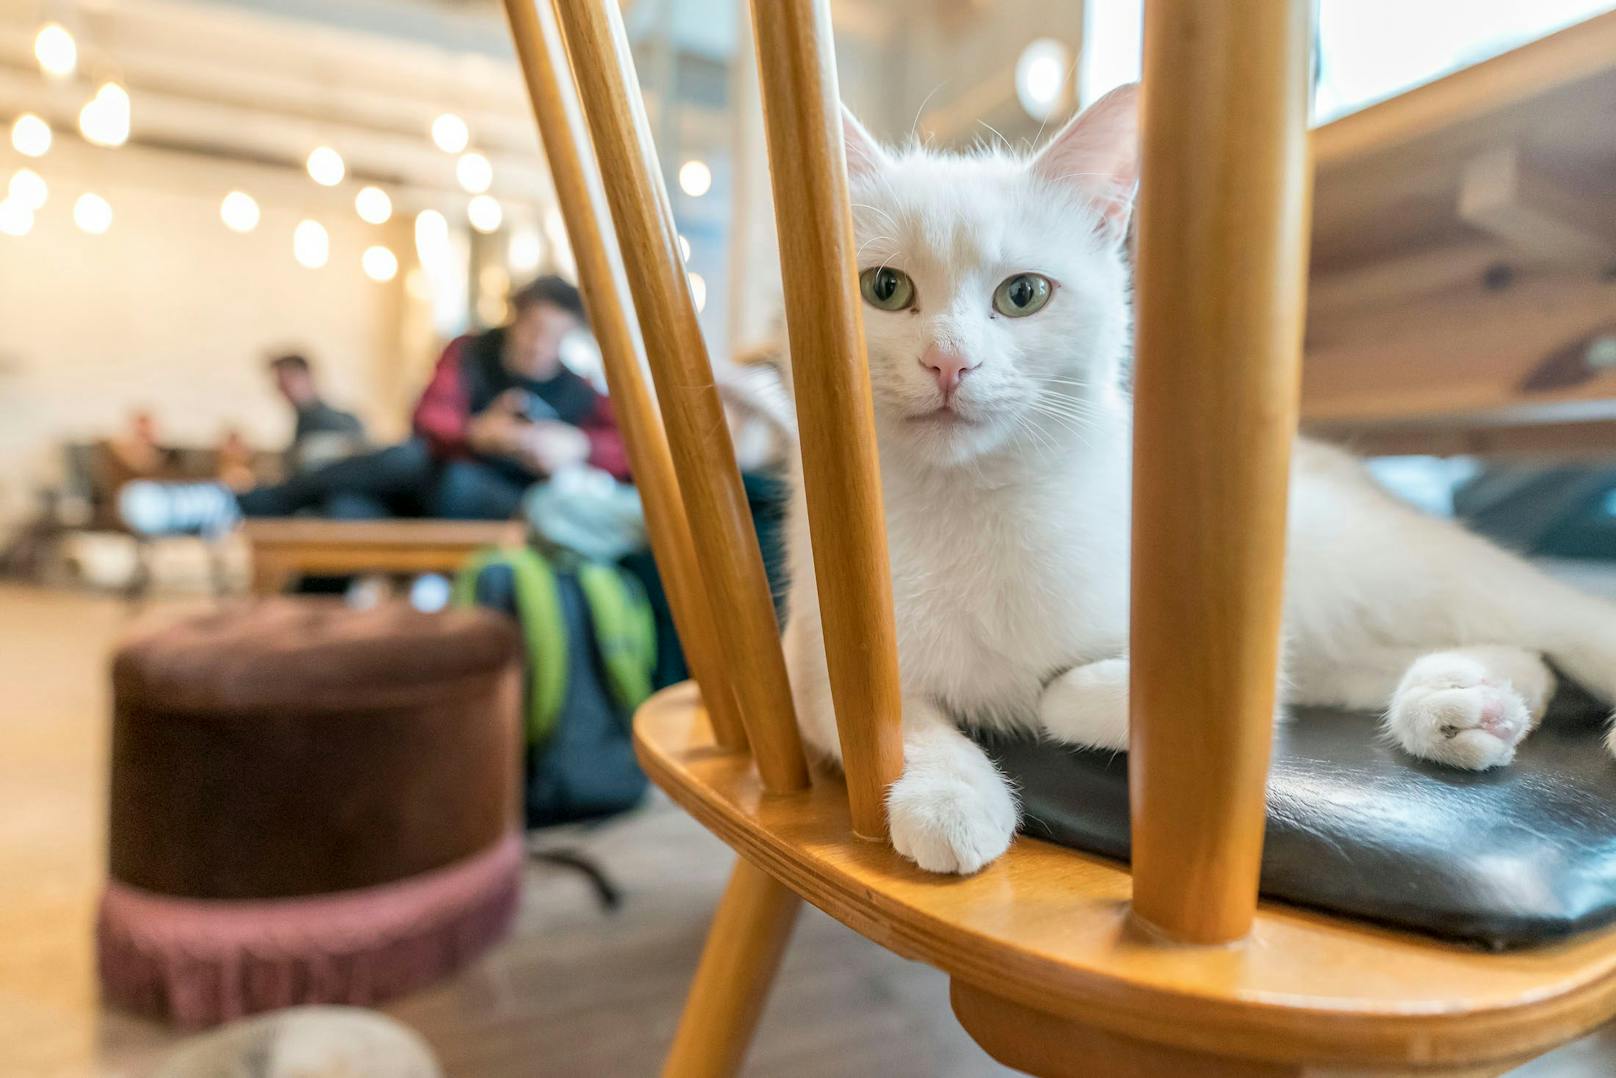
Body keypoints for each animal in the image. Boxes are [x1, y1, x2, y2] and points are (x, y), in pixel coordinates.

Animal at [775, 84, 1609, 879]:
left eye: (1023, 294)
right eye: (884, 288)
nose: (949, 362)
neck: (970, 499)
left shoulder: (1228, 656)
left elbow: (1074, 696)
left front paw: (1034, 713)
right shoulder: (816, 666)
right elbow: (897, 720)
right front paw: (950, 796)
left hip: (1397, 569)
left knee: (1562, 618)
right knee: (1496, 655)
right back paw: (1466, 705)